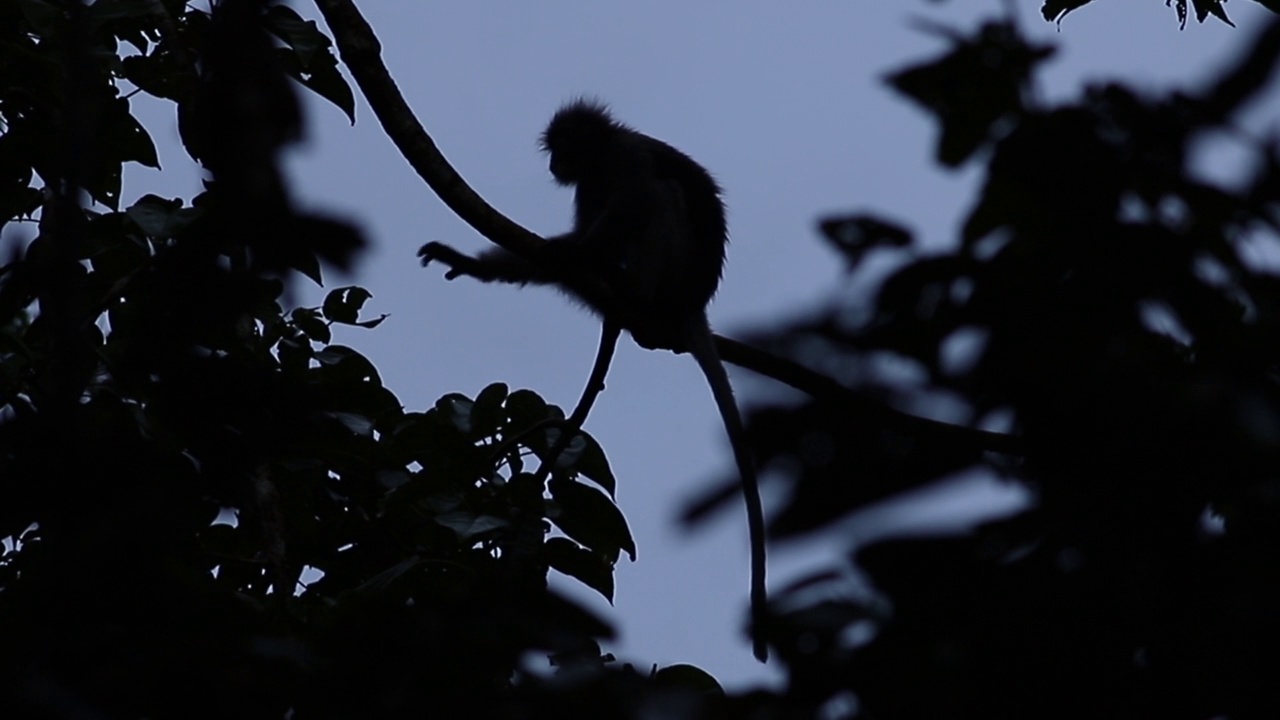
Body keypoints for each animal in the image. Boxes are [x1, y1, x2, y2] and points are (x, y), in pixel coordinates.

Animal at [417, 101, 768, 661]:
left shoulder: (625, 159)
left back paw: (624, 290)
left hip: (671, 271)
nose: (554, 162)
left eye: (565, 145)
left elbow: (635, 201)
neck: (602, 156)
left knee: (655, 198)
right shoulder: (589, 184)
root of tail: (693, 303)